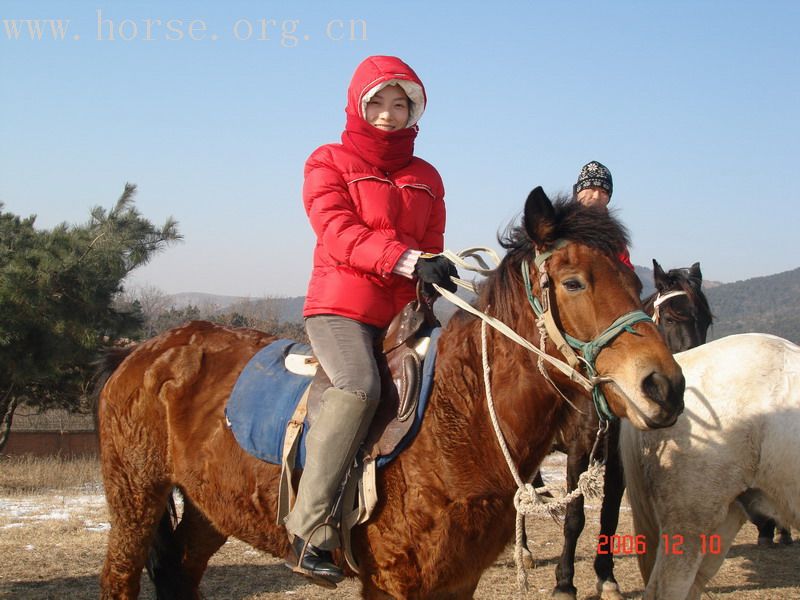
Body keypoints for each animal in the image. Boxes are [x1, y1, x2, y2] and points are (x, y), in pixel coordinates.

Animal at [97, 188, 684, 600]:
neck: (458, 421)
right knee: (119, 576)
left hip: (208, 508)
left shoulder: (457, 581)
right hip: (135, 495)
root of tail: (141, 353)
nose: (665, 386)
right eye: (574, 282)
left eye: (636, 285)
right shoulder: (395, 581)